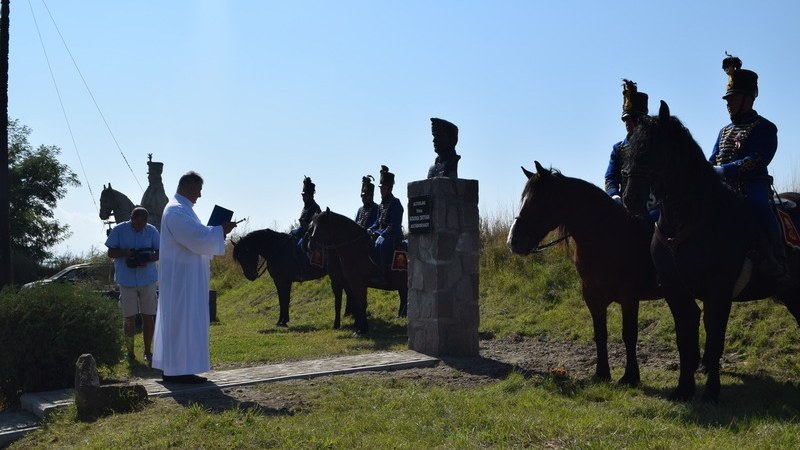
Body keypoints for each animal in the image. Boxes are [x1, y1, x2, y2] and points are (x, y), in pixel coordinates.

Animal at [506, 160, 664, 384]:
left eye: (537, 200)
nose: (513, 241)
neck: (608, 238)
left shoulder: (629, 297)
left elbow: (629, 334)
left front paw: (630, 377)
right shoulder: (592, 296)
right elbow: (600, 334)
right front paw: (601, 373)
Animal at [624, 101, 800, 400]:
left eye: (652, 147)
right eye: (630, 149)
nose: (631, 199)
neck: (689, 219)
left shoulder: (719, 290)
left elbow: (715, 336)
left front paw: (711, 391)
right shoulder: (675, 289)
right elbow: (685, 337)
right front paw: (684, 388)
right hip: (790, 292)